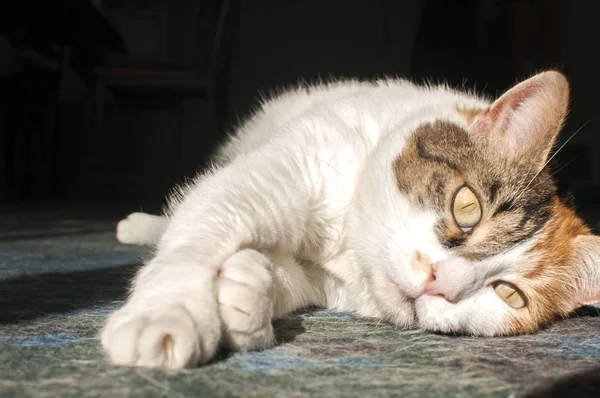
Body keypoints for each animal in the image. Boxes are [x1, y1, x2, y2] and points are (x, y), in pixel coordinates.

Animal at [101, 70, 600, 370]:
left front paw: (245, 291)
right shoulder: (282, 172)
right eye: (467, 207)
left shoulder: (314, 281)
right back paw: (138, 226)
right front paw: (167, 314)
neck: (348, 245)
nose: (440, 284)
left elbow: (276, 277)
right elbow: (200, 234)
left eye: (509, 294)